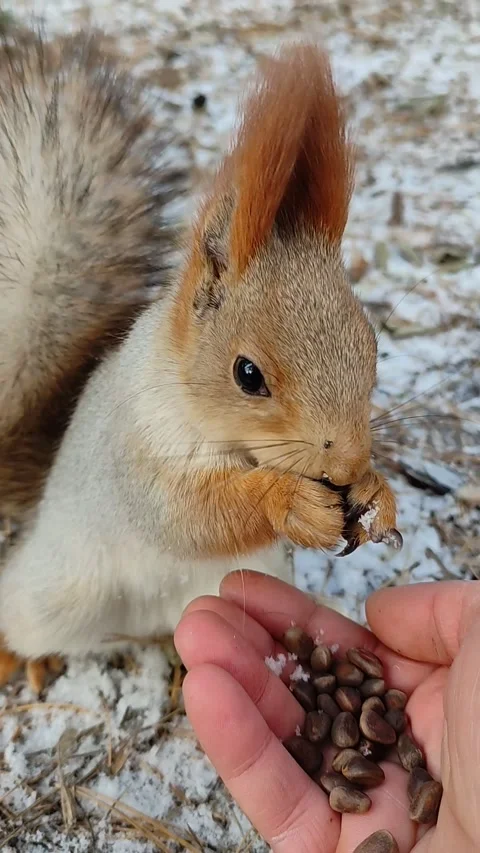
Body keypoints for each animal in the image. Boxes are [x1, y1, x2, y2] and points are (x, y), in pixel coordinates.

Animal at [0, 36, 400, 693]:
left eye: (373, 348)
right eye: (247, 375)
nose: (345, 464)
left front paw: (375, 492)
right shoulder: (137, 441)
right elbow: (183, 514)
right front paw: (288, 502)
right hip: (57, 591)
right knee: (25, 615)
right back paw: (21, 655)